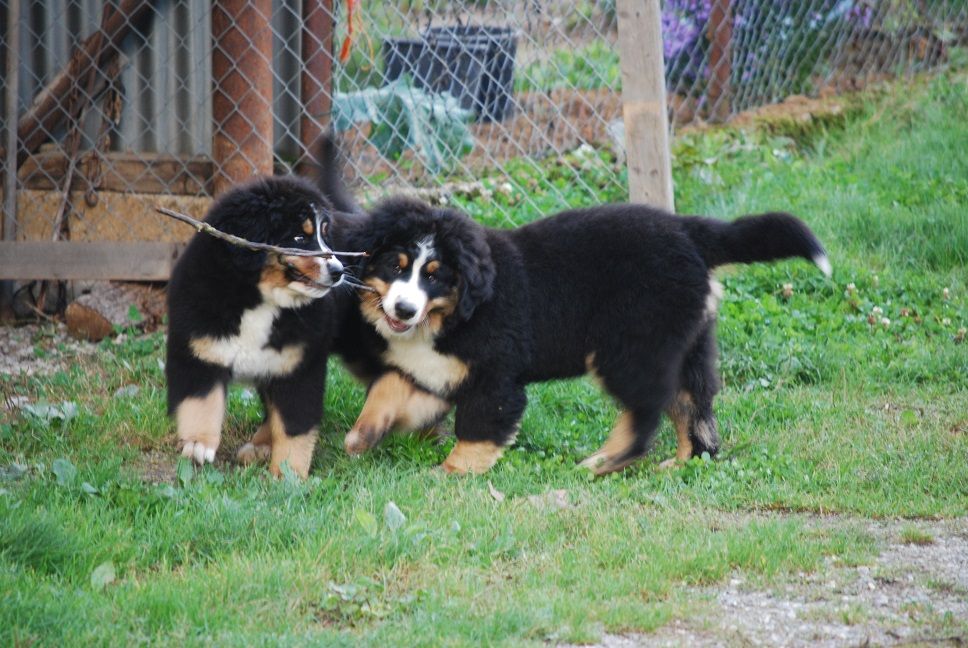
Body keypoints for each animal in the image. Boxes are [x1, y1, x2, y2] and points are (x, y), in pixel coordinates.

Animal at [166, 173, 356, 478]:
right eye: (299, 237)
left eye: (325, 236)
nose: (338, 271)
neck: (261, 300)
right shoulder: (199, 346)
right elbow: (201, 400)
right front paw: (198, 443)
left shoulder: (298, 365)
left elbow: (294, 423)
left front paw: (287, 475)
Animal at [341, 197, 831, 475]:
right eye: (395, 266)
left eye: (434, 275)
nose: (404, 310)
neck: (452, 316)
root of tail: (688, 230)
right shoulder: (437, 373)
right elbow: (388, 389)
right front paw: (362, 436)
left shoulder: (495, 378)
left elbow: (478, 431)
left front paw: (450, 473)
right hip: (684, 342)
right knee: (693, 405)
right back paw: (680, 464)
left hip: (629, 345)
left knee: (646, 412)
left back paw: (601, 464)